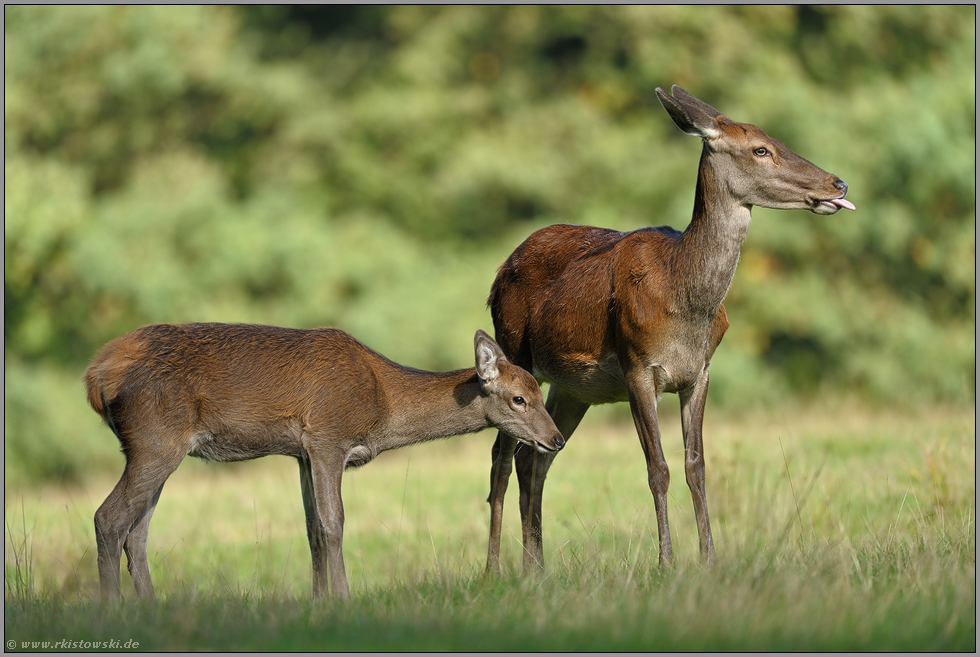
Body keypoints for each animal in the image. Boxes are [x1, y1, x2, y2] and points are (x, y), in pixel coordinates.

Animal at [87, 322, 564, 600]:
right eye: (518, 399)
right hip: (156, 437)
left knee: (137, 532)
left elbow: (312, 528)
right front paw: (344, 601)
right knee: (108, 518)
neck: (382, 405)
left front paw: (318, 605)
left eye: (541, 393)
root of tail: (97, 374)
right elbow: (334, 523)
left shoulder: (301, 453)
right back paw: (113, 612)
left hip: (157, 446)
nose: (556, 439)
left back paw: (150, 609)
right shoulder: (327, 437)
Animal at [486, 84, 852, 572]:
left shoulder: (699, 372)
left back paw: (536, 568)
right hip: (512, 346)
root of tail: (497, 274)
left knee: (535, 457)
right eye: (761, 149)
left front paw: (709, 557)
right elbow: (657, 468)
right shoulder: (637, 366)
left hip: (574, 387)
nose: (838, 184)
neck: (684, 299)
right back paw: (494, 568)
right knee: (501, 459)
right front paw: (666, 562)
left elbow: (696, 466)